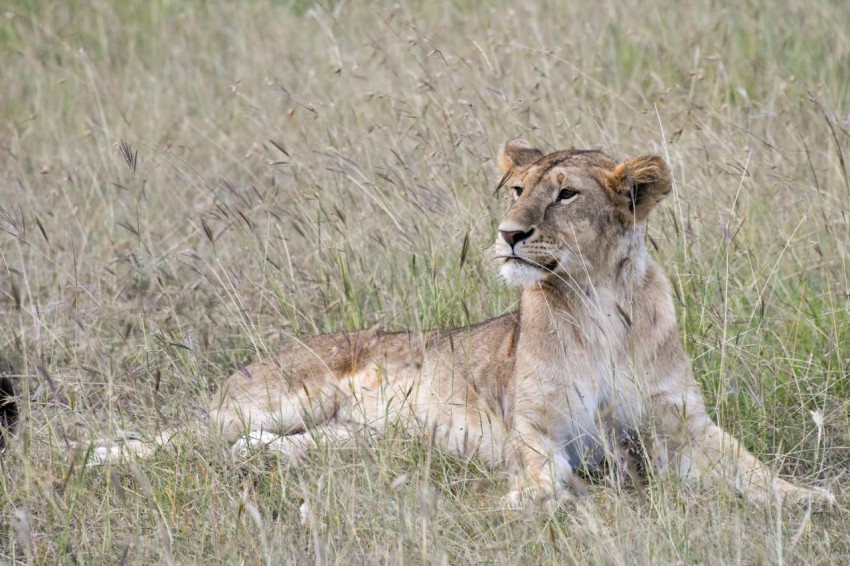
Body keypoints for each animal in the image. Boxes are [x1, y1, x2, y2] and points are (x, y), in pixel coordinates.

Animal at [93, 139, 833, 507]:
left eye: (566, 194)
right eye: (518, 190)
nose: (509, 234)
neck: (597, 301)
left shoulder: (682, 425)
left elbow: (750, 467)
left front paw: (811, 499)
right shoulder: (533, 426)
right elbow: (546, 478)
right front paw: (530, 501)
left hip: (347, 437)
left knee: (261, 446)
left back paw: (259, 459)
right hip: (280, 396)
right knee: (182, 436)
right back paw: (97, 456)